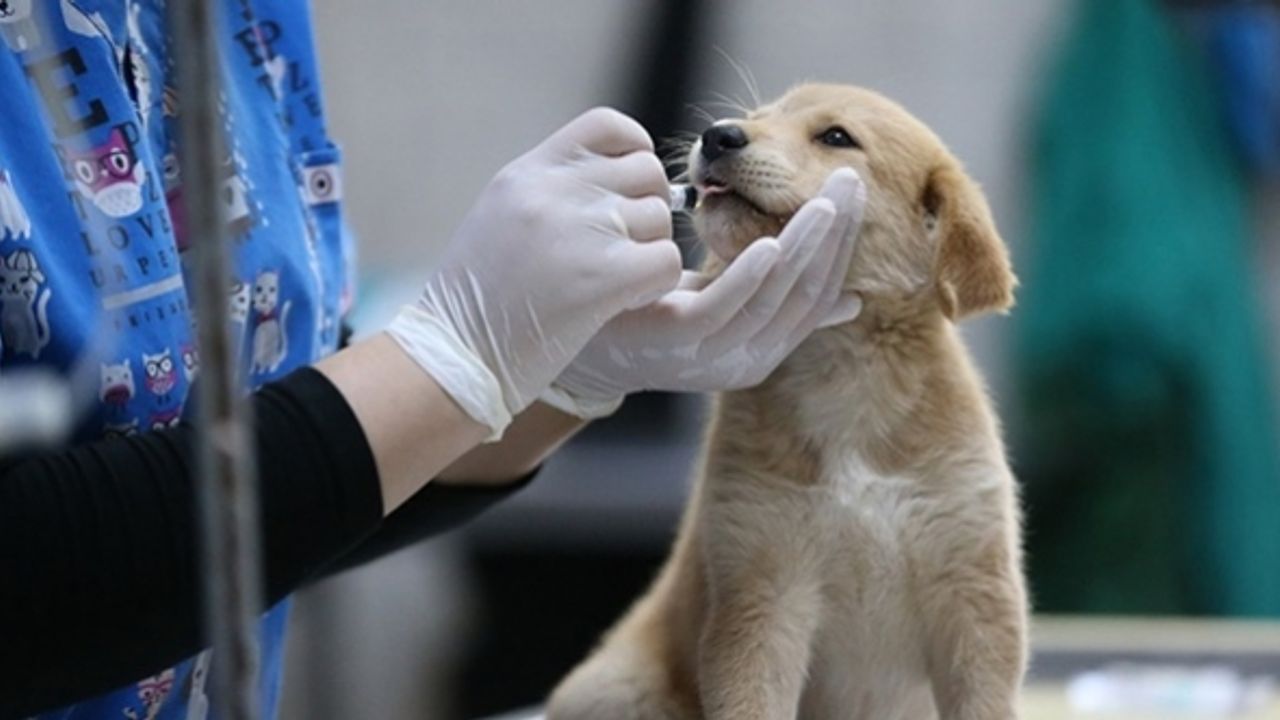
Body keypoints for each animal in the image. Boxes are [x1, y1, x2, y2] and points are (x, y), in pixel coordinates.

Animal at [546, 83, 1027, 720]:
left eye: (836, 136)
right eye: (757, 117)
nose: (718, 134)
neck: (843, 374)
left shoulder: (974, 593)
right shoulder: (761, 592)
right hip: (614, 688)